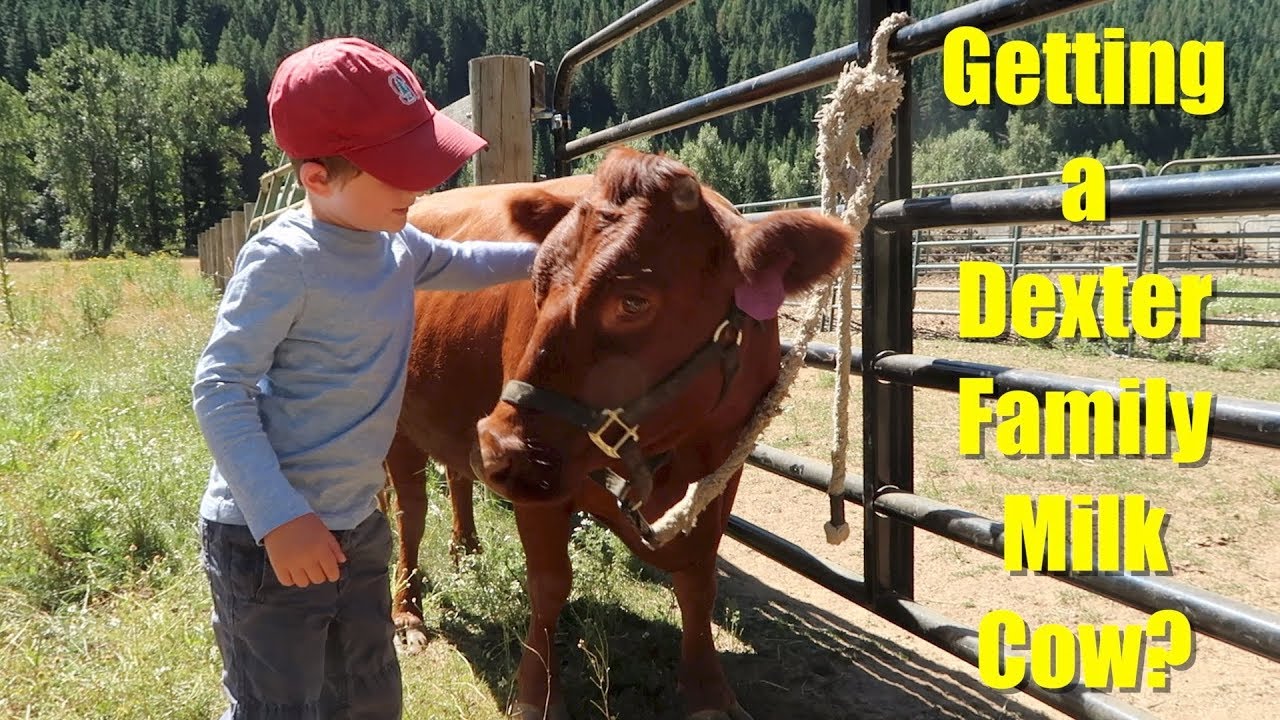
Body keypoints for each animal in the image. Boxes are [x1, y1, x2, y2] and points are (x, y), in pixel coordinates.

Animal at [385, 148, 854, 720]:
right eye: (537, 282)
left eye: (634, 301)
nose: (497, 449)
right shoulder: (542, 484)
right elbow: (549, 585)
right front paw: (536, 696)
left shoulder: (725, 467)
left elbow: (699, 580)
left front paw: (709, 693)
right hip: (399, 427)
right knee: (409, 513)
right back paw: (408, 615)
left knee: (456, 477)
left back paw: (467, 550)